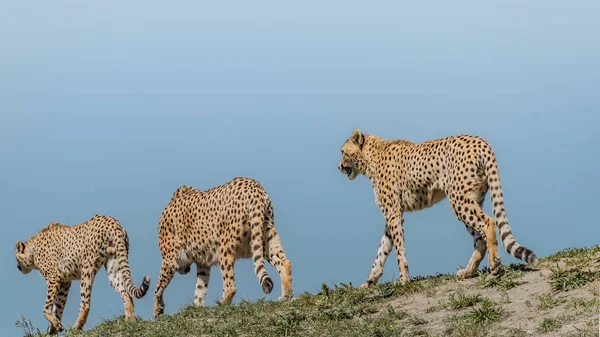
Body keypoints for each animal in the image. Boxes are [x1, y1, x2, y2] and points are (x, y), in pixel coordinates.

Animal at [14, 214, 150, 332]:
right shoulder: (65, 282)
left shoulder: (54, 278)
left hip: (87, 268)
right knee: (126, 293)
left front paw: (55, 327)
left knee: (85, 304)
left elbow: (47, 308)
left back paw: (76, 327)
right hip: (114, 266)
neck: (32, 251)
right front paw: (54, 329)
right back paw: (130, 321)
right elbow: (58, 307)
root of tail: (111, 221)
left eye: (16, 258)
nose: (17, 267)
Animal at [152, 176, 292, 318]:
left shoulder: (169, 261)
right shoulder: (203, 264)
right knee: (285, 262)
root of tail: (252, 184)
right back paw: (286, 296)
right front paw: (196, 307)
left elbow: (158, 288)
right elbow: (200, 288)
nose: (186, 270)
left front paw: (157, 310)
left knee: (231, 286)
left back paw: (221, 304)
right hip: (265, 237)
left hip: (225, 248)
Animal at [338, 129, 540, 286]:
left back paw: (494, 265)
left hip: (459, 201)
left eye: (343, 152)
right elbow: (383, 249)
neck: (371, 156)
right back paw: (468, 271)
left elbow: (398, 250)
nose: (339, 166)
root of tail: (480, 141)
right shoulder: (392, 215)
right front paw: (370, 281)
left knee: (488, 222)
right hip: (472, 198)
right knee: (479, 238)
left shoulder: (393, 212)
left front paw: (403, 280)